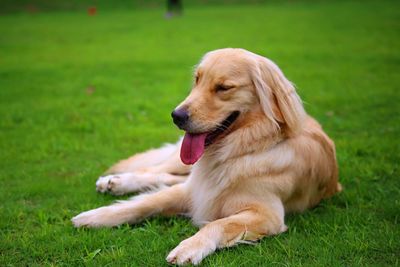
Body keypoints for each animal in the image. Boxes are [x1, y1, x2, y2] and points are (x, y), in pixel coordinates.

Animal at [72, 48, 340, 266]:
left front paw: (190, 247)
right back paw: (114, 181)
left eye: (223, 88)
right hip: (181, 163)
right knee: (156, 170)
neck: (241, 149)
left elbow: (218, 223)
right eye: (197, 80)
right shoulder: (195, 190)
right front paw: (95, 217)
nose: (176, 115)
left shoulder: (267, 214)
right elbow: (145, 203)